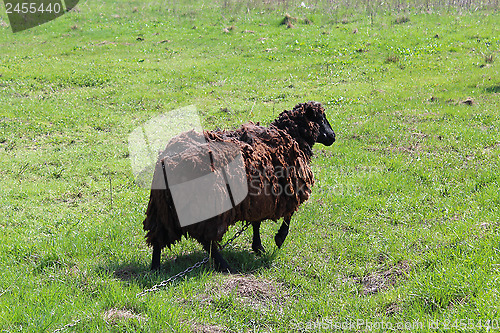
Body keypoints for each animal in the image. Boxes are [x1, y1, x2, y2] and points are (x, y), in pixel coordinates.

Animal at [143, 102, 334, 272]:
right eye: (321, 118)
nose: (333, 136)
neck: (291, 137)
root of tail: (167, 159)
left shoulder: (259, 196)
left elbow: (256, 223)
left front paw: (258, 246)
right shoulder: (288, 190)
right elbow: (288, 217)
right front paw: (279, 238)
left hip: (162, 208)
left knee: (158, 235)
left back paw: (155, 269)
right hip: (208, 203)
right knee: (208, 240)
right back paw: (225, 266)